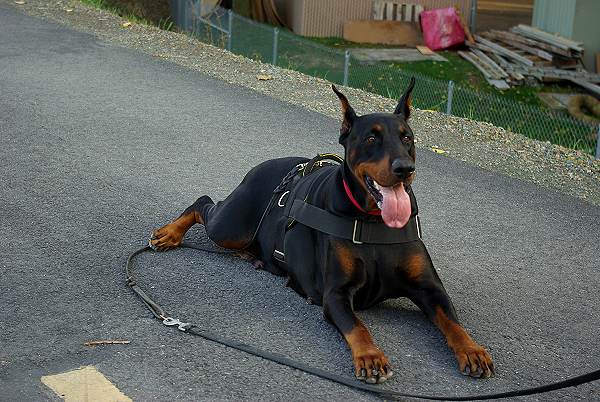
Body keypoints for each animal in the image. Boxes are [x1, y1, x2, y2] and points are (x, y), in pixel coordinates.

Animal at [150, 78, 492, 384]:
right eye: (371, 139)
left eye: (407, 138)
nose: (404, 168)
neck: (373, 221)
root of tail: (265, 165)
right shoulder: (335, 293)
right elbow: (357, 326)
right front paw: (370, 357)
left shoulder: (429, 288)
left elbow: (452, 321)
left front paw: (472, 350)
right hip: (231, 226)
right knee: (203, 203)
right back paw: (169, 234)